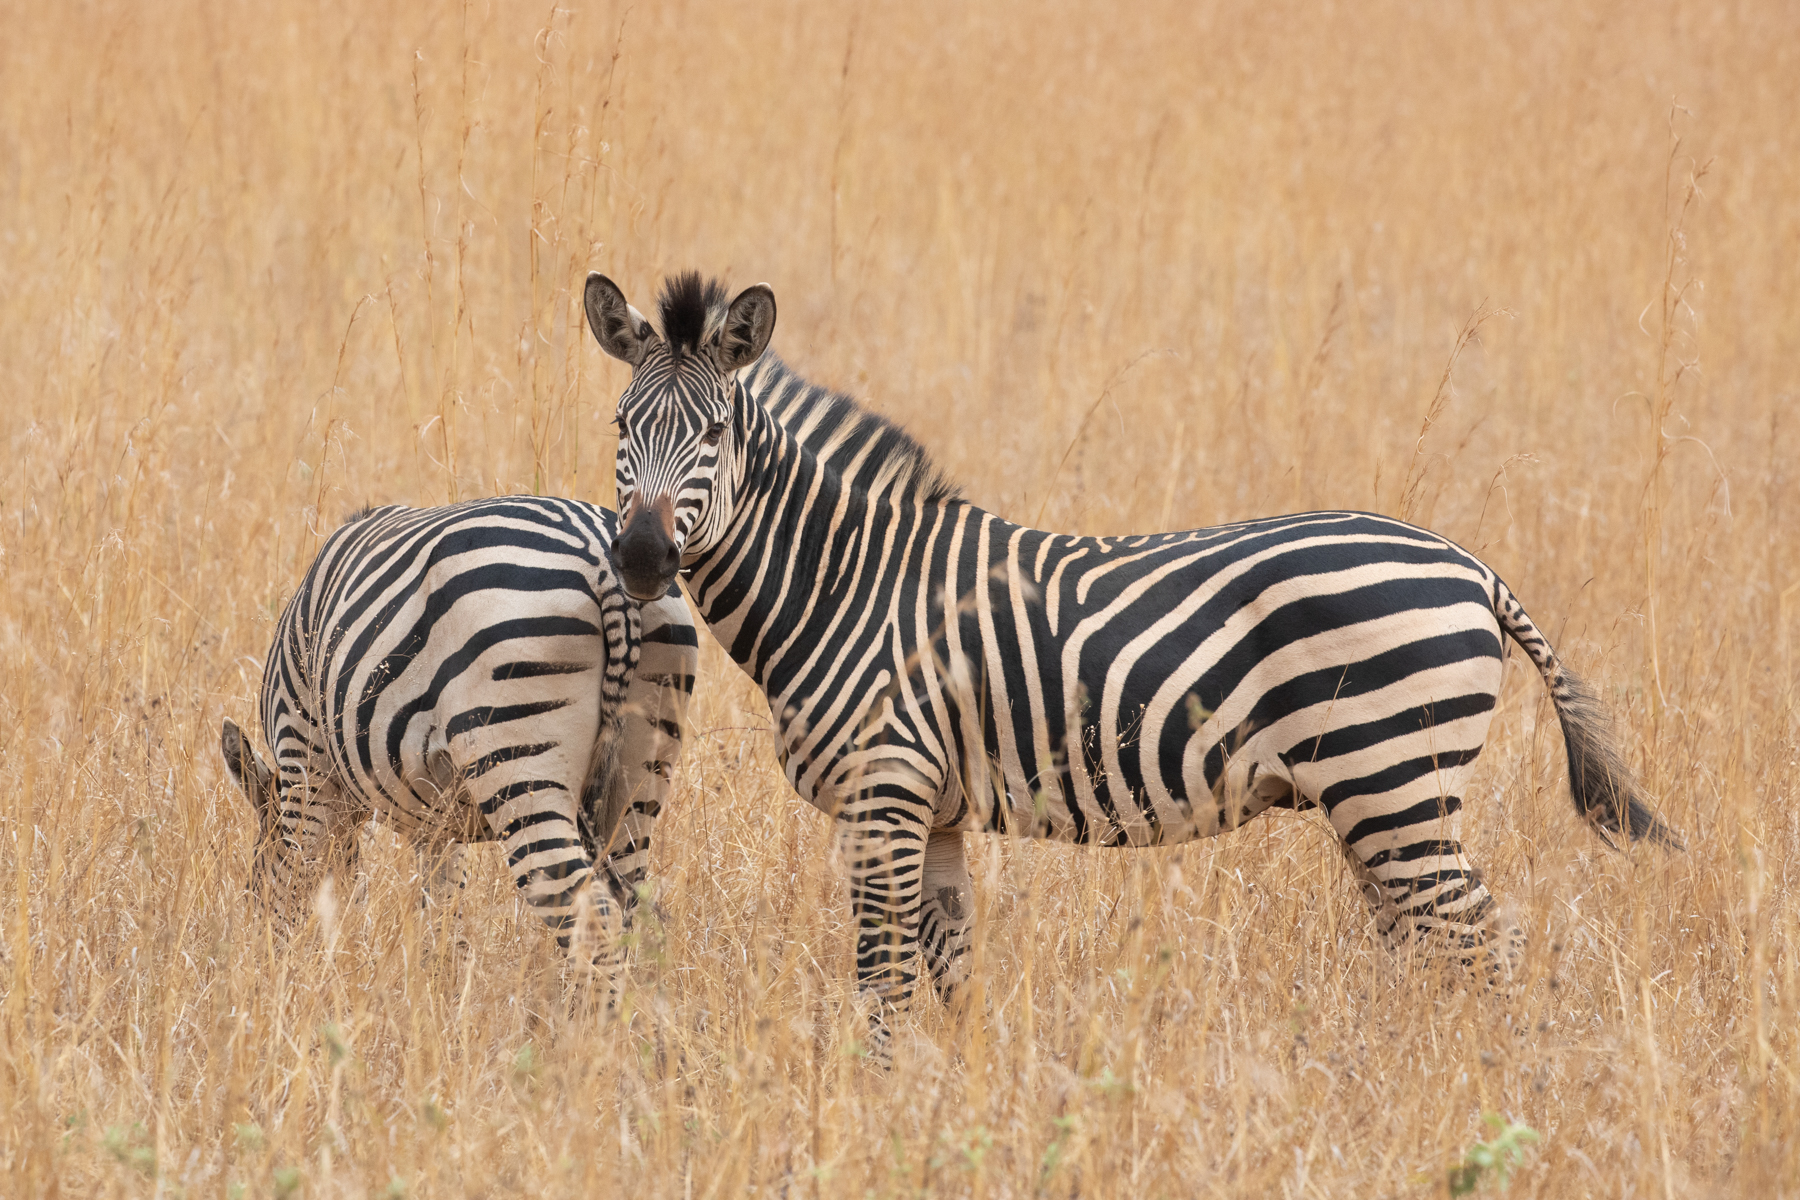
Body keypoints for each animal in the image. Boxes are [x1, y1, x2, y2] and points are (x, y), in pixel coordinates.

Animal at [219, 496, 696, 985]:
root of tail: (603, 560)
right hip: (638, 775)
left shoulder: (304, 758)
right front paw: (440, 995)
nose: (253, 960)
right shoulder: (436, 820)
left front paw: (290, 977)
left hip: (517, 757)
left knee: (587, 910)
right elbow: (443, 918)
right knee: (629, 905)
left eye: (252, 887)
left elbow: (301, 874)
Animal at [584, 270, 1678, 1046]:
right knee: (1434, 941)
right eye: (622, 427)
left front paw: (879, 1099)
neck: (846, 579)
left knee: (1483, 939)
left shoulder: (884, 791)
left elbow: (880, 979)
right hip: (1385, 796)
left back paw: (1480, 1087)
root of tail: (1474, 567)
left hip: (1391, 779)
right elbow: (947, 969)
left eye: (714, 433)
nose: (639, 558)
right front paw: (959, 1090)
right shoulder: (935, 809)